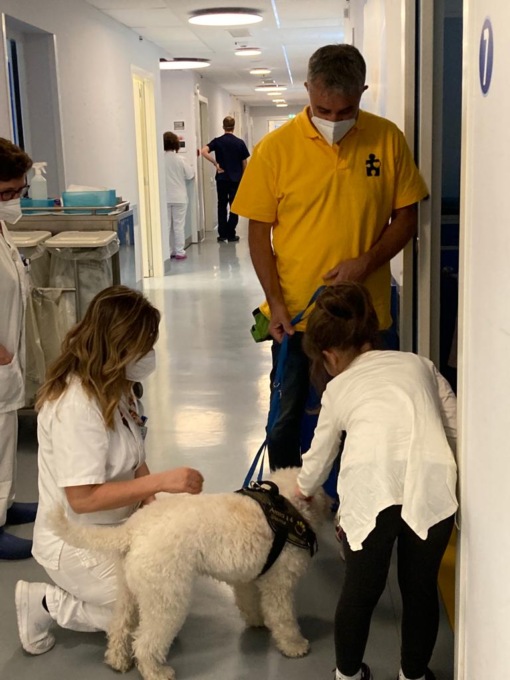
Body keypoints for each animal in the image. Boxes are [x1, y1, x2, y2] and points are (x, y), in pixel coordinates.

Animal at [51, 468, 330, 680]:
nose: (333, 502)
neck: (285, 508)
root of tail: (132, 529)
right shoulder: (279, 585)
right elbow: (284, 619)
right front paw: (294, 645)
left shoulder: (247, 579)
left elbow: (249, 602)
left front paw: (257, 621)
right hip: (166, 600)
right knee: (144, 643)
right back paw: (156, 672)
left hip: (128, 593)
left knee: (119, 626)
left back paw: (117, 660)